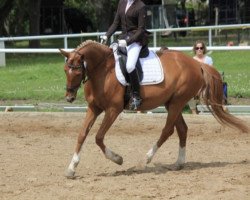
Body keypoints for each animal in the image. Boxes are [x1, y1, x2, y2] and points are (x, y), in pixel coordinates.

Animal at [60, 39, 248, 177]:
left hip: (177, 103)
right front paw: (71, 168)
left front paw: (118, 159)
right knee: (182, 130)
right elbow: (82, 134)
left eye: (77, 71)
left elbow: (98, 137)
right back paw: (178, 163)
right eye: (65, 70)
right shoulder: (94, 108)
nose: (69, 98)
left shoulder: (113, 110)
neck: (103, 71)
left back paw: (146, 160)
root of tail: (197, 64)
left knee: (167, 131)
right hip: (172, 103)